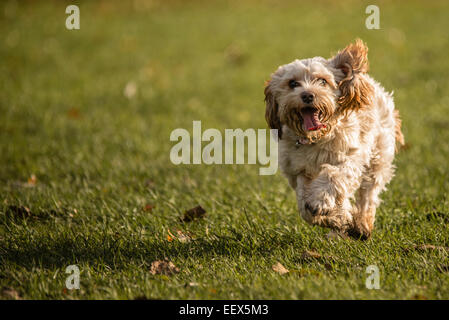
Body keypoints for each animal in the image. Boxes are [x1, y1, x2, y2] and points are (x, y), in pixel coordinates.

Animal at [264, 40, 404, 239]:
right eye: (293, 83)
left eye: (323, 81)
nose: (308, 95)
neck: (315, 140)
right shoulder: (298, 170)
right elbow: (303, 201)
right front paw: (335, 218)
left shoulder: (350, 158)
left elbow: (333, 175)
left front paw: (322, 203)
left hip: (378, 156)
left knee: (369, 193)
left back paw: (362, 223)